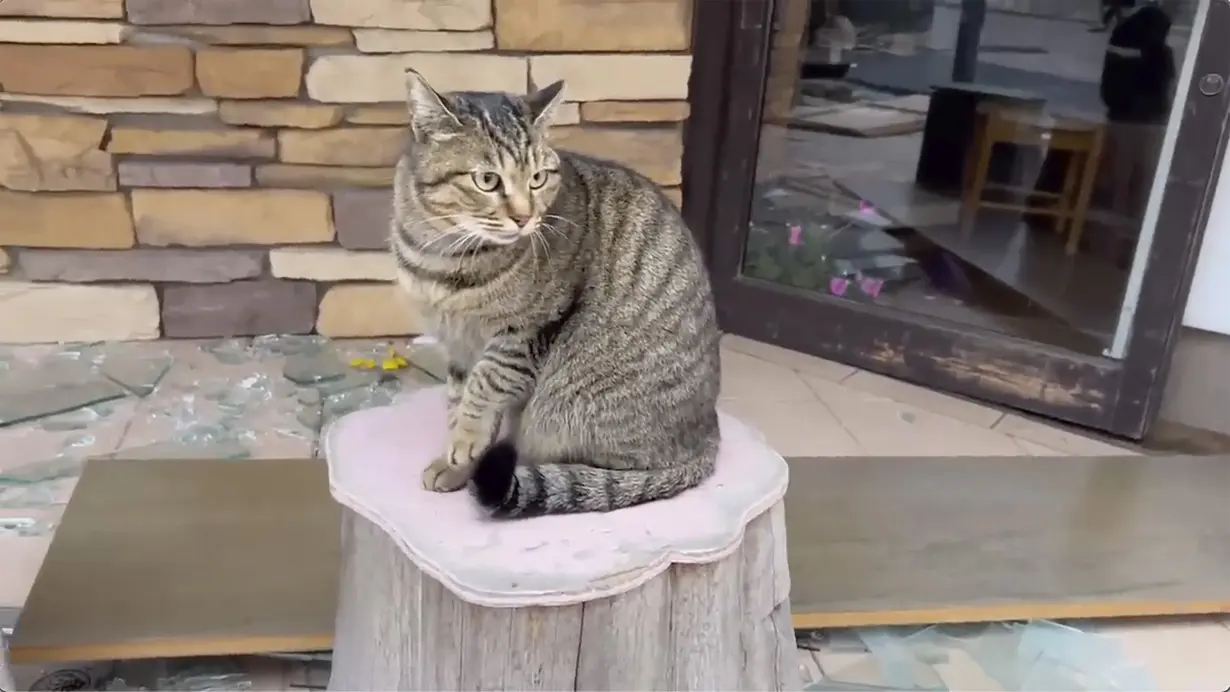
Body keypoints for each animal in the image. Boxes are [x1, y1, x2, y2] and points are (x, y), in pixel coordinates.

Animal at [391, 70, 718, 516]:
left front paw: (466, 440)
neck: (445, 258)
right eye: (487, 180)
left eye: (538, 179)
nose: (524, 217)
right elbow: (458, 398)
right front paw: (454, 463)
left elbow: (484, 386)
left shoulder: (526, 331)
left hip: (574, 405)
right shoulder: (456, 345)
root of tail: (710, 436)